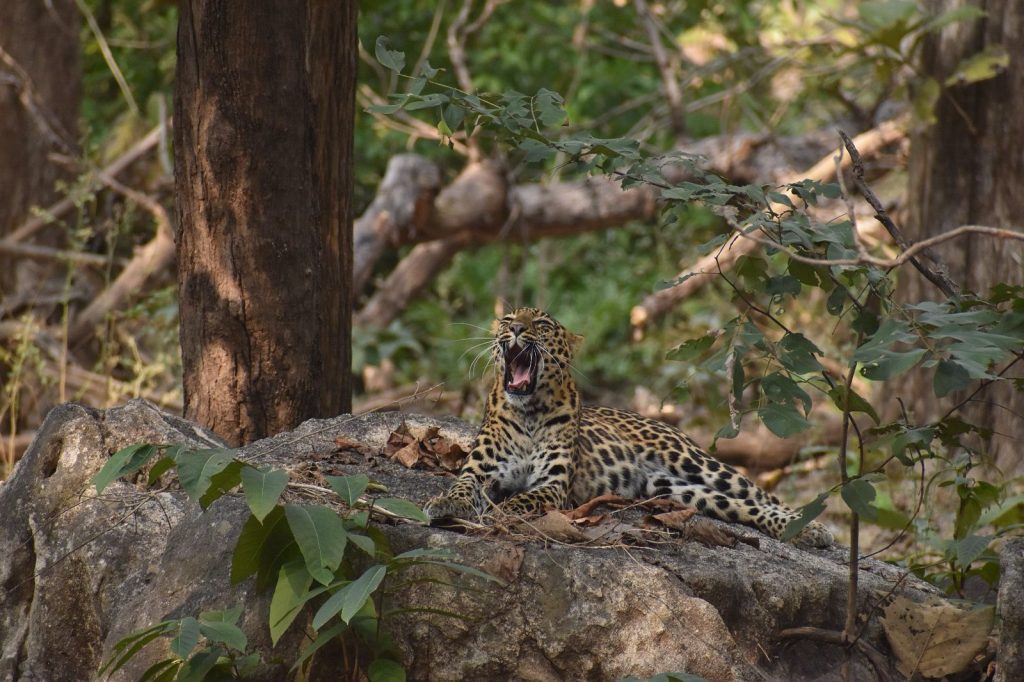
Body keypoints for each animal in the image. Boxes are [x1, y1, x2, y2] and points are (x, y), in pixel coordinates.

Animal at [423, 305, 831, 544]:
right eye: (508, 321)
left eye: (541, 324)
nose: (518, 330)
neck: (528, 412)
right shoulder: (479, 470)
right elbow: (462, 485)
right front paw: (445, 502)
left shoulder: (553, 485)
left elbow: (525, 497)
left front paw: (501, 511)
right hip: (671, 489)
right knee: (740, 506)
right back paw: (799, 529)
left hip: (696, 462)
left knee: (760, 495)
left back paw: (811, 527)